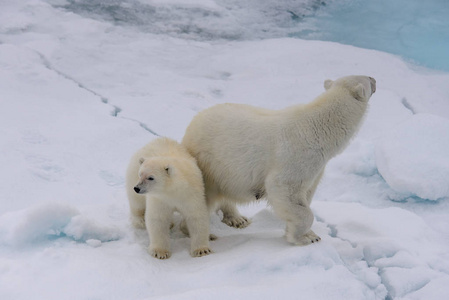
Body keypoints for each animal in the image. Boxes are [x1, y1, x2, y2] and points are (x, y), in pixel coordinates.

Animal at [182, 75, 374, 246]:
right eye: (367, 79)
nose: (374, 79)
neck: (318, 127)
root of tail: (192, 125)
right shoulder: (298, 156)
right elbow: (284, 188)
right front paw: (306, 238)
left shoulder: (317, 167)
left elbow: (306, 193)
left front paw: (305, 233)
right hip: (208, 163)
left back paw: (237, 219)